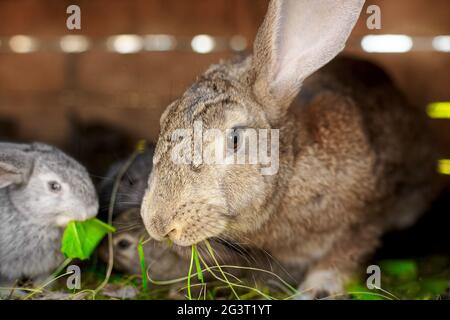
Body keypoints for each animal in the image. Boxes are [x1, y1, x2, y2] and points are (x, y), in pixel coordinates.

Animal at [141, 0, 440, 300]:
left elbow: (346, 252)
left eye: (235, 138)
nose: (158, 224)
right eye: (164, 119)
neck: (292, 172)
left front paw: (317, 289)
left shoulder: (368, 216)